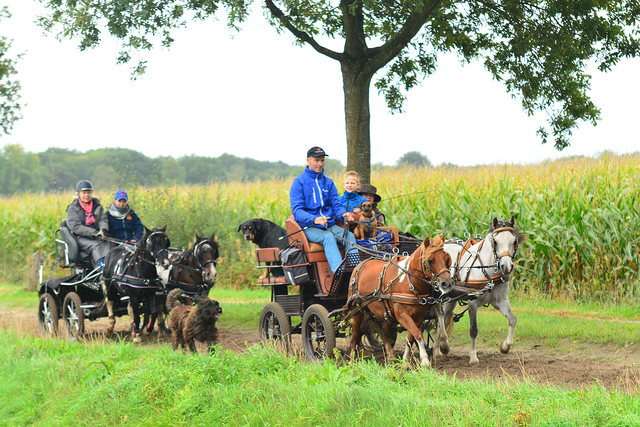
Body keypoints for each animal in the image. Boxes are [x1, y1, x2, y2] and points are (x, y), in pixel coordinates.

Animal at [344, 234, 456, 368]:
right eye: (430, 260)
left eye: (447, 259)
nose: (447, 283)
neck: (409, 282)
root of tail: (359, 265)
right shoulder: (402, 315)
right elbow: (418, 334)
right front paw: (424, 360)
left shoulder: (419, 315)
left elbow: (411, 338)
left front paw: (405, 361)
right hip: (356, 310)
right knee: (355, 335)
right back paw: (351, 362)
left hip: (381, 312)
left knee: (381, 330)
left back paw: (390, 356)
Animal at [436, 217, 524, 364]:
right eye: (495, 242)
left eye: (514, 241)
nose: (506, 267)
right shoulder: (473, 303)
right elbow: (473, 330)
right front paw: (473, 357)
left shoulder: (501, 301)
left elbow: (513, 319)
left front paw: (505, 347)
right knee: (439, 318)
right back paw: (442, 347)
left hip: (451, 300)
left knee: (442, 318)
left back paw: (439, 349)